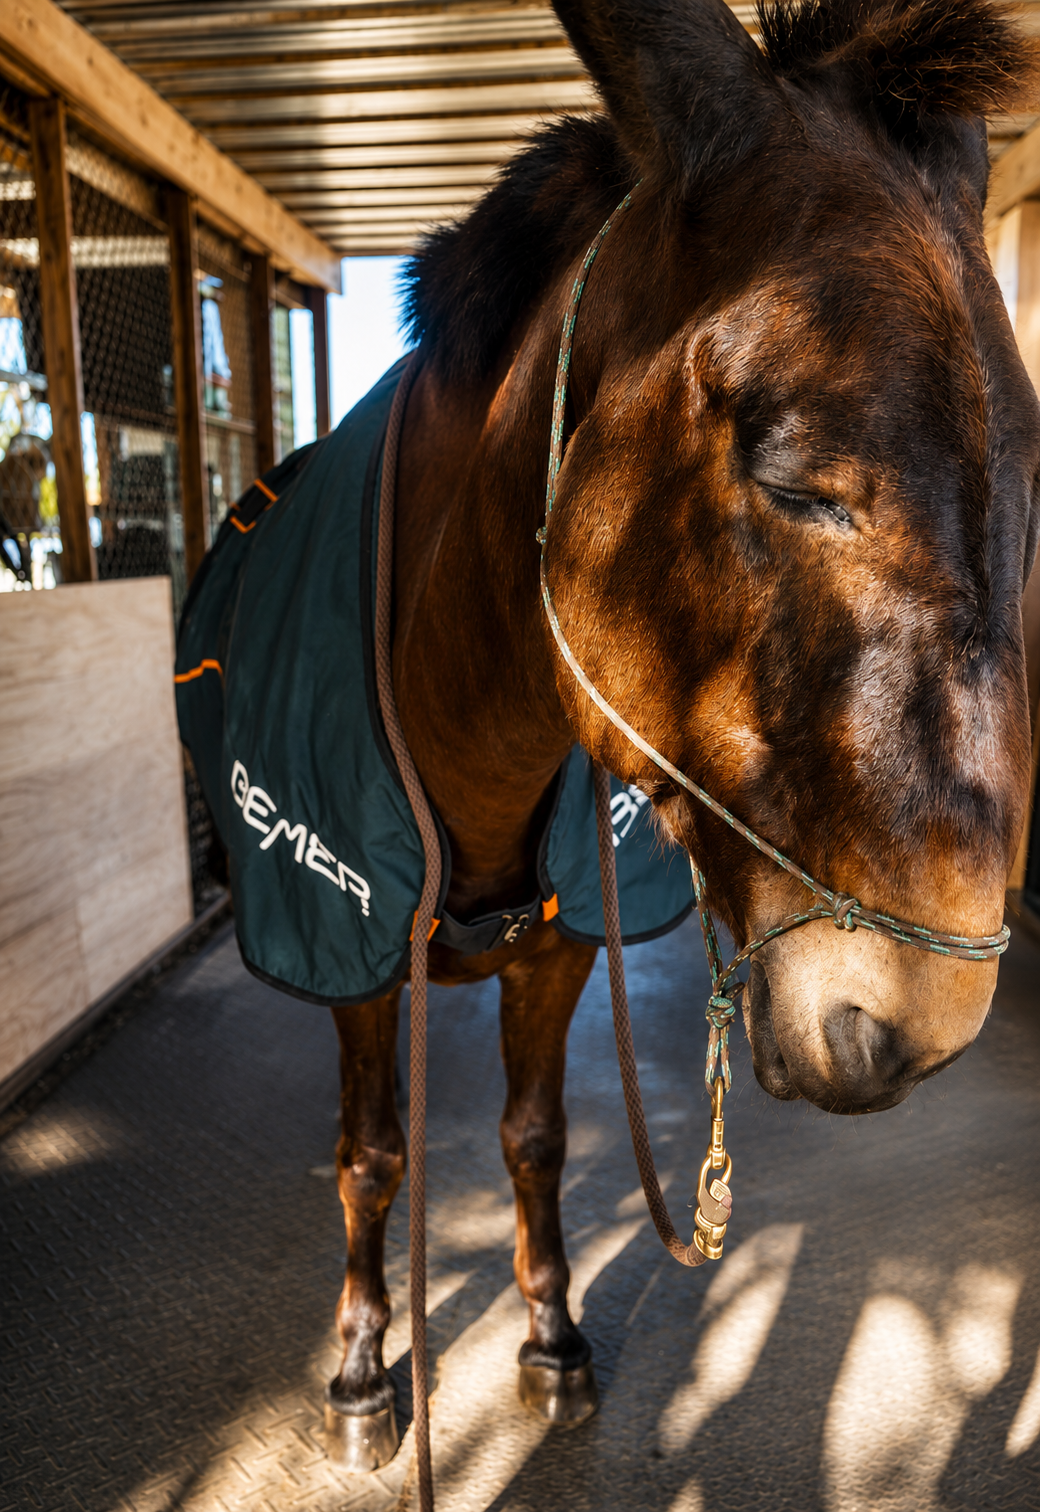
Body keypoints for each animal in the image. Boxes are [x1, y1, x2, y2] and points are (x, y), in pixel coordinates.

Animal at [182, 0, 1040, 1474]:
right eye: (796, 479)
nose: (921, 1028)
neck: (471, 718)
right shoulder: (347, 951)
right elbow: (371, 1156)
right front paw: (358, 1371)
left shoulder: (562, 943)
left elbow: (532, 1136)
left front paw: (552, 1341)